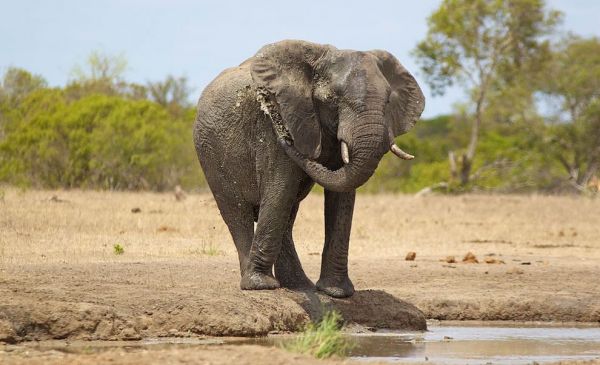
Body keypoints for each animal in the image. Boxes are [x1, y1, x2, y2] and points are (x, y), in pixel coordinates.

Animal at [195, 39, 424, 296]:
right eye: (332, 99)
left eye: (387, 101)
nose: (283, 137)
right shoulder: (275, 124)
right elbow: (280, 189)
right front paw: (263, 287)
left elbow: (341, 197)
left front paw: (336, 293)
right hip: (210, 155)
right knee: (238, 211)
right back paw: (258, 284)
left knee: (288, 212)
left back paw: (298, 285)